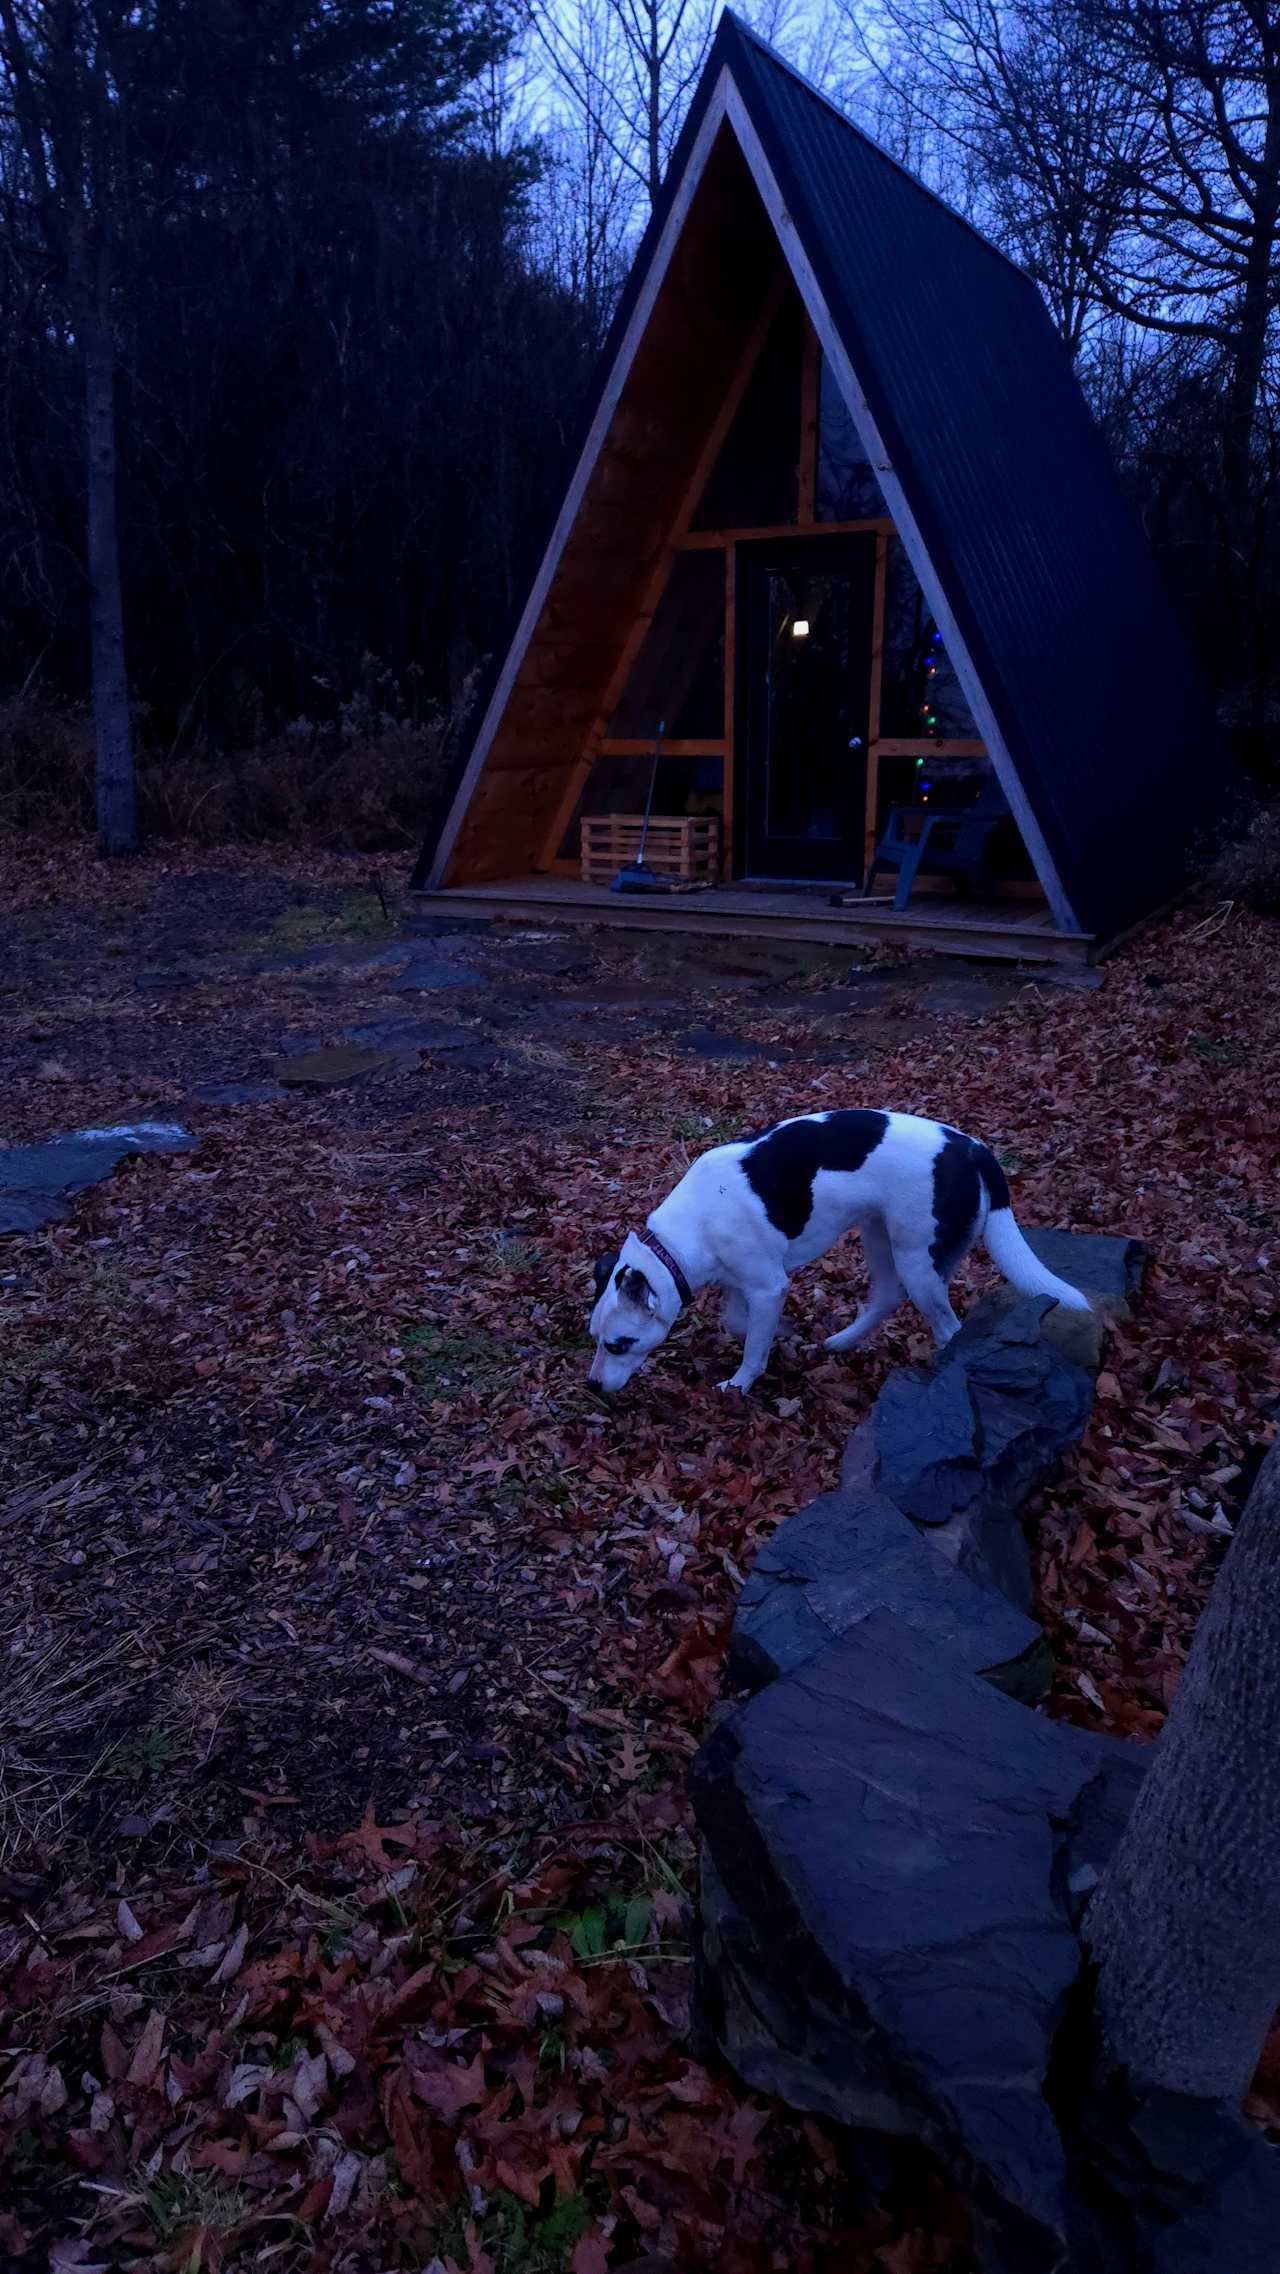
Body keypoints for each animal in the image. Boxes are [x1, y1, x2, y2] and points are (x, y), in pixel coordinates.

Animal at [586, 1105, 1086, 1391]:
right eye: (594, 1338)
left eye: (619, 1344)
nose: (591, 1387)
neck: (677, 1241)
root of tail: (973, 1149)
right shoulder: (741, 1283)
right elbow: (738, 1323)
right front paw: (782, 1335)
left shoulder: (768, 1285)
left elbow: (752, 1345)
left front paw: (743, 1380)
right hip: (879, 1236)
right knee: (887, 1298)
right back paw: (842, 1340)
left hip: (916, 1260)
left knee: (946, 1326)